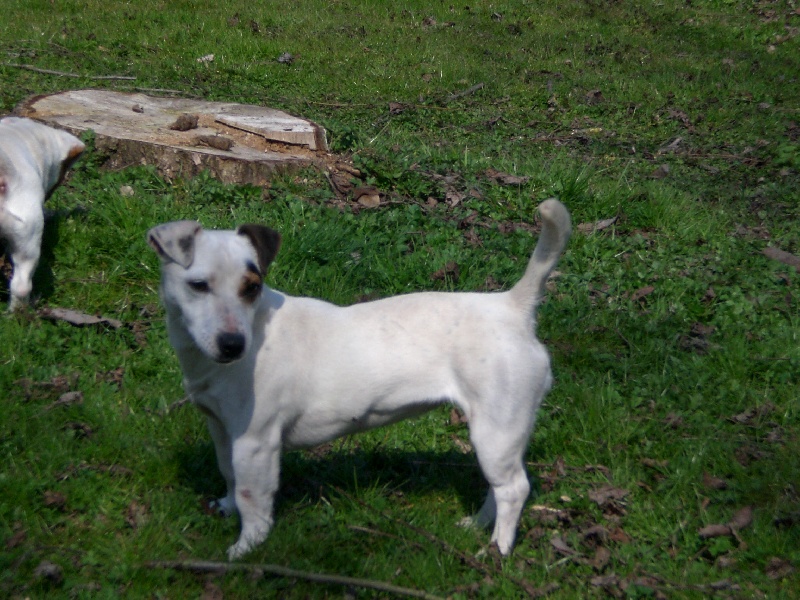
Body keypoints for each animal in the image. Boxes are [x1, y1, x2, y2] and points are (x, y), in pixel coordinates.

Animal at [148, 198, 571, 560]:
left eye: (252, 287)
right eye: (198, 285)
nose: (233, 344)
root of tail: (513, 307)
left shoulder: (255, 442)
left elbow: (253, 497)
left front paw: (246, 547)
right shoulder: (222, 429)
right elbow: (230, 476)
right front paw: (226, 506)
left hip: (495, 430)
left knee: (513, 488)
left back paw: (498, 548)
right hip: (501, 436)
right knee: (497, 487)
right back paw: (478, 526)